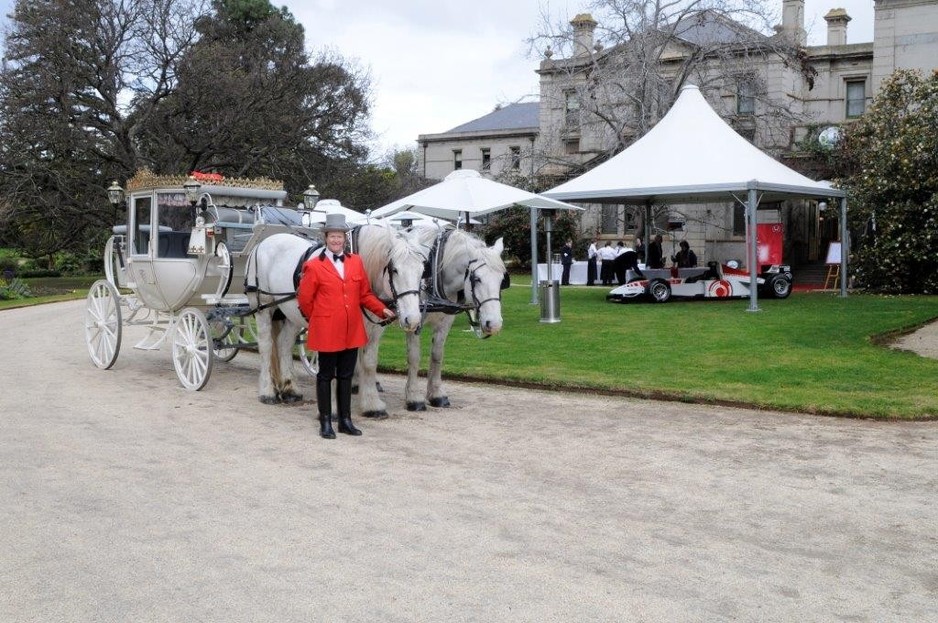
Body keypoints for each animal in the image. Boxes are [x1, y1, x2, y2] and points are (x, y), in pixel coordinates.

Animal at [245, 227, 428, 408]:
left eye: (422, 271)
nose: (413, 319)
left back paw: (290, 389)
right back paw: (267, 391)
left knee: (284, 344)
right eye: (395, 270)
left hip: (292, 314)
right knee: (266, 345)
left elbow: (369, 363)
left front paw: (372, 404)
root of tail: (264, 242)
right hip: (263, 308)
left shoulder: (374, 330)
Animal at [356, 225, 504, 420]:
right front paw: (414, 398)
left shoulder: (445, 322)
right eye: (477, 278)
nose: (494, 324)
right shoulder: (413, 320)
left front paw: (436, 394)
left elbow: (437, 355)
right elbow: (414, 357)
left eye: (502, 280)